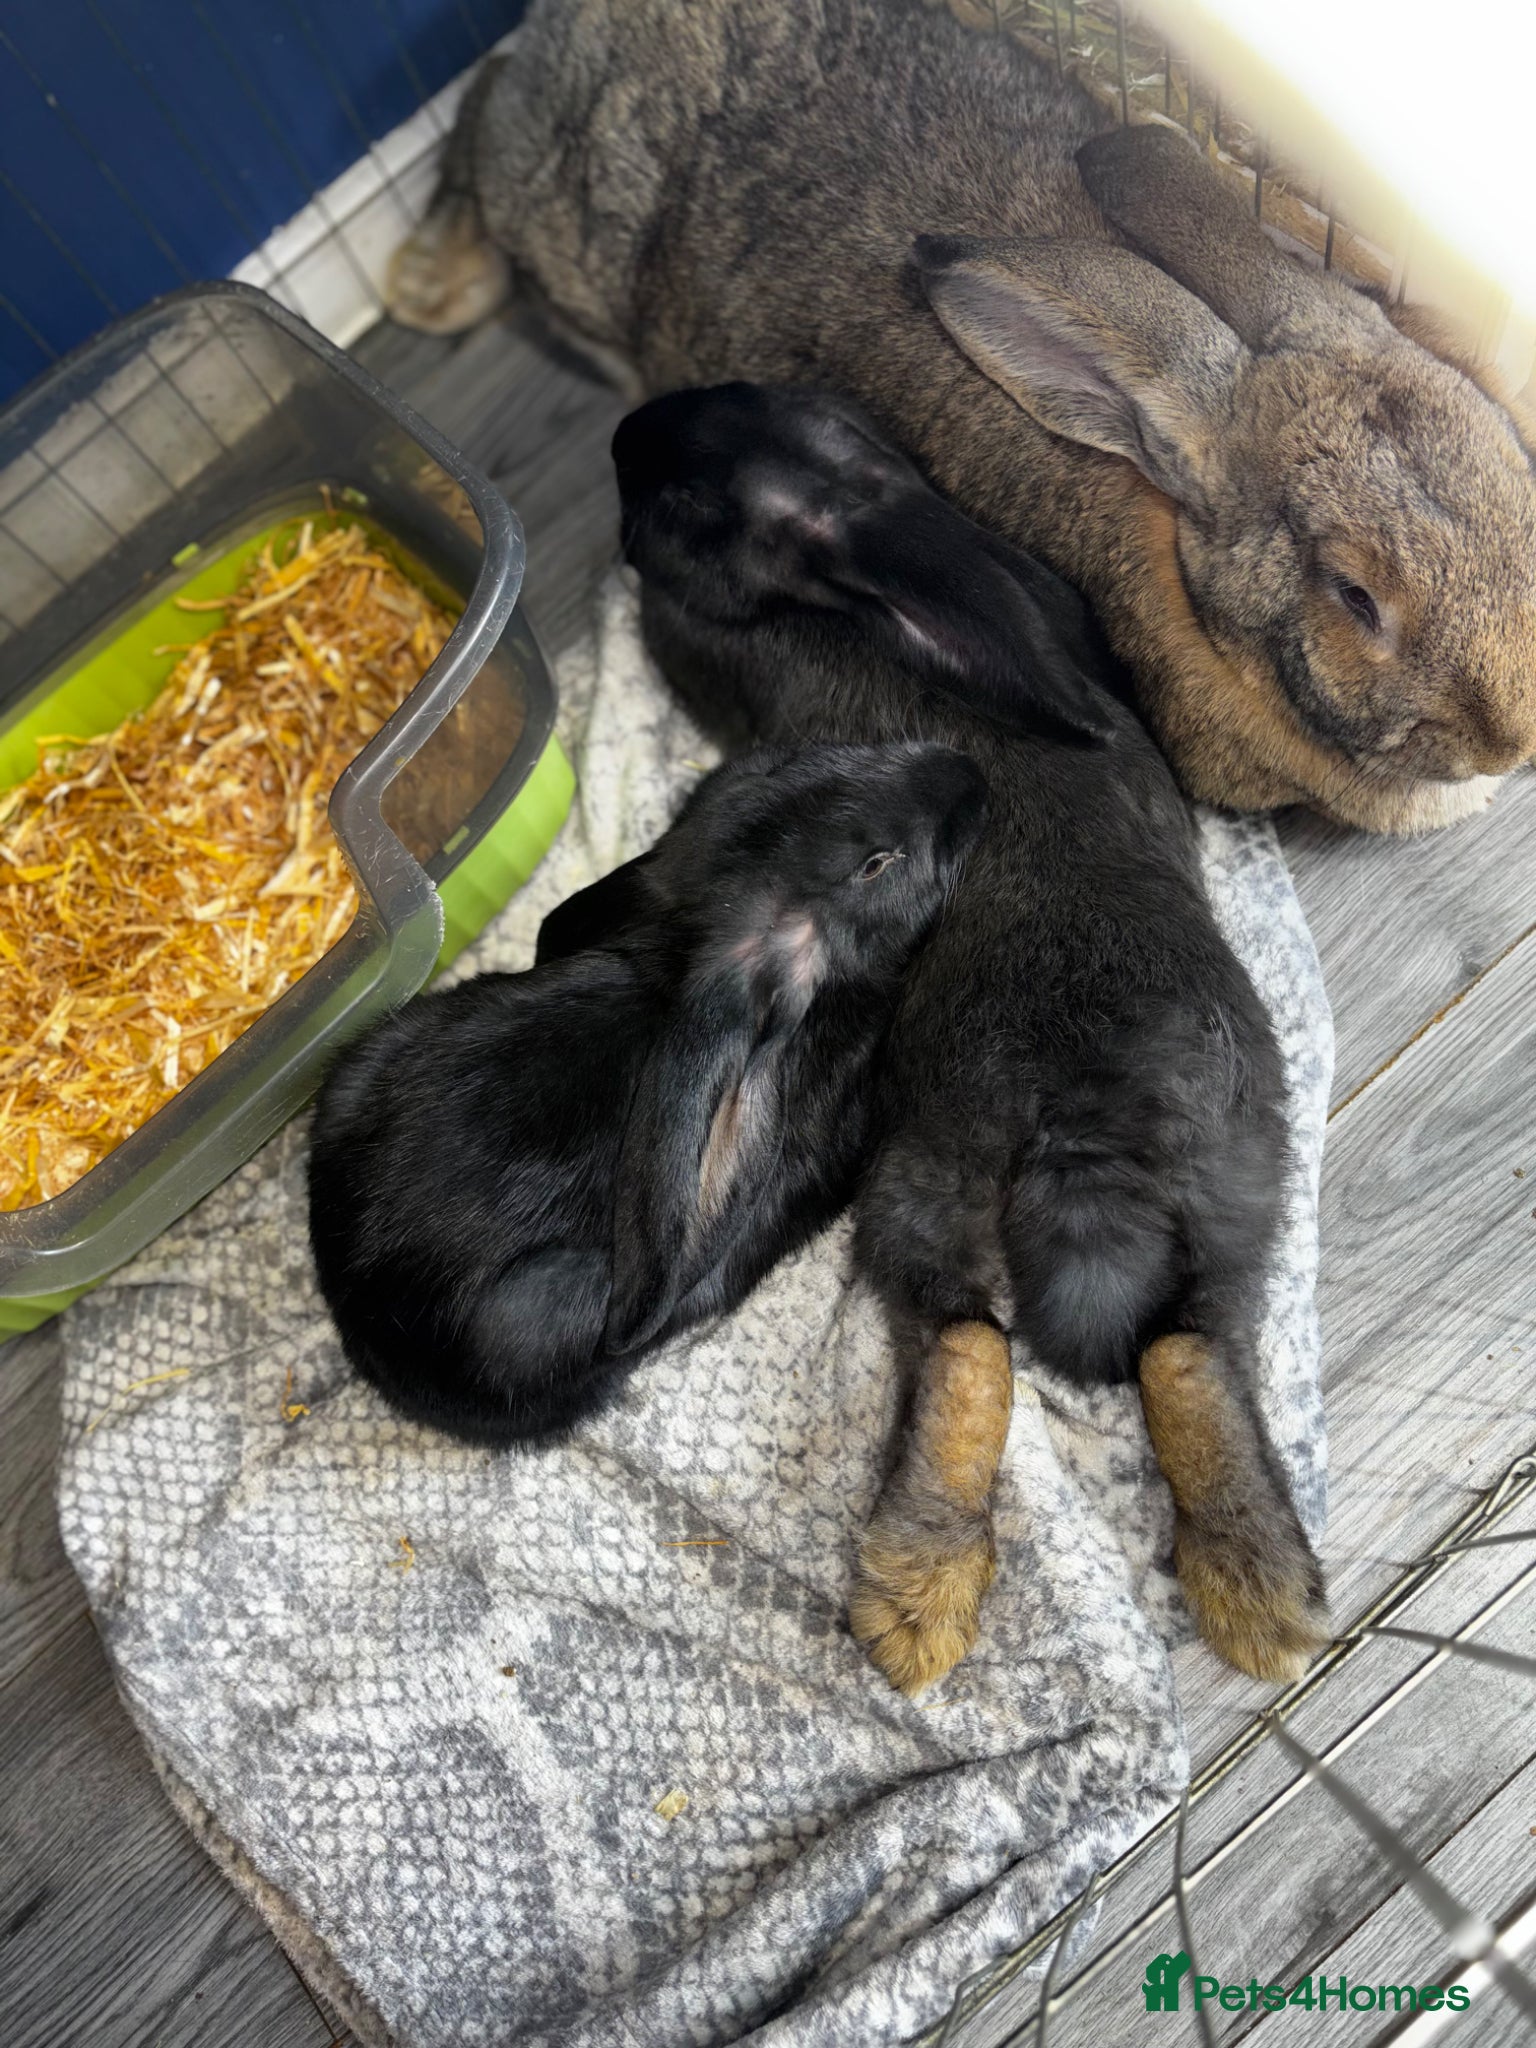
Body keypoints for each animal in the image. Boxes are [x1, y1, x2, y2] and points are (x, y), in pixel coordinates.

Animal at [613, 379, 1331, 1694]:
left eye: (686, 508)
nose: (624, 438)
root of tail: (1084, 1124)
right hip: (1237, 1179)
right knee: (1189, 1342)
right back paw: (1257, 1586)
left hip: (921, 1183)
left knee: (965, 1340)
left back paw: (914, 1594)